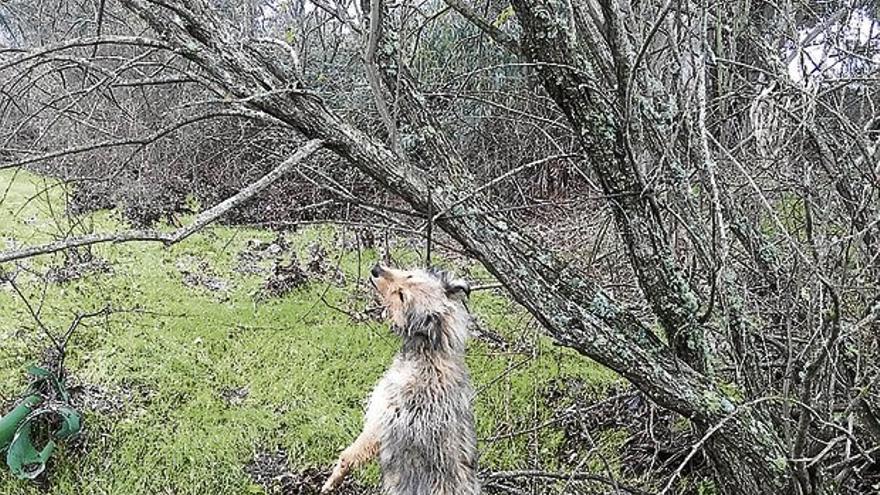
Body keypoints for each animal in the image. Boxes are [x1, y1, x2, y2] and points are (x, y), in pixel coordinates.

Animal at [322, 266, 478, 494]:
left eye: (402, 296)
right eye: (409, 276)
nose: (376, 269)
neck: (430, 353)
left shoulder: (377, 425)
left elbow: (346, 458)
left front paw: (329, 483)